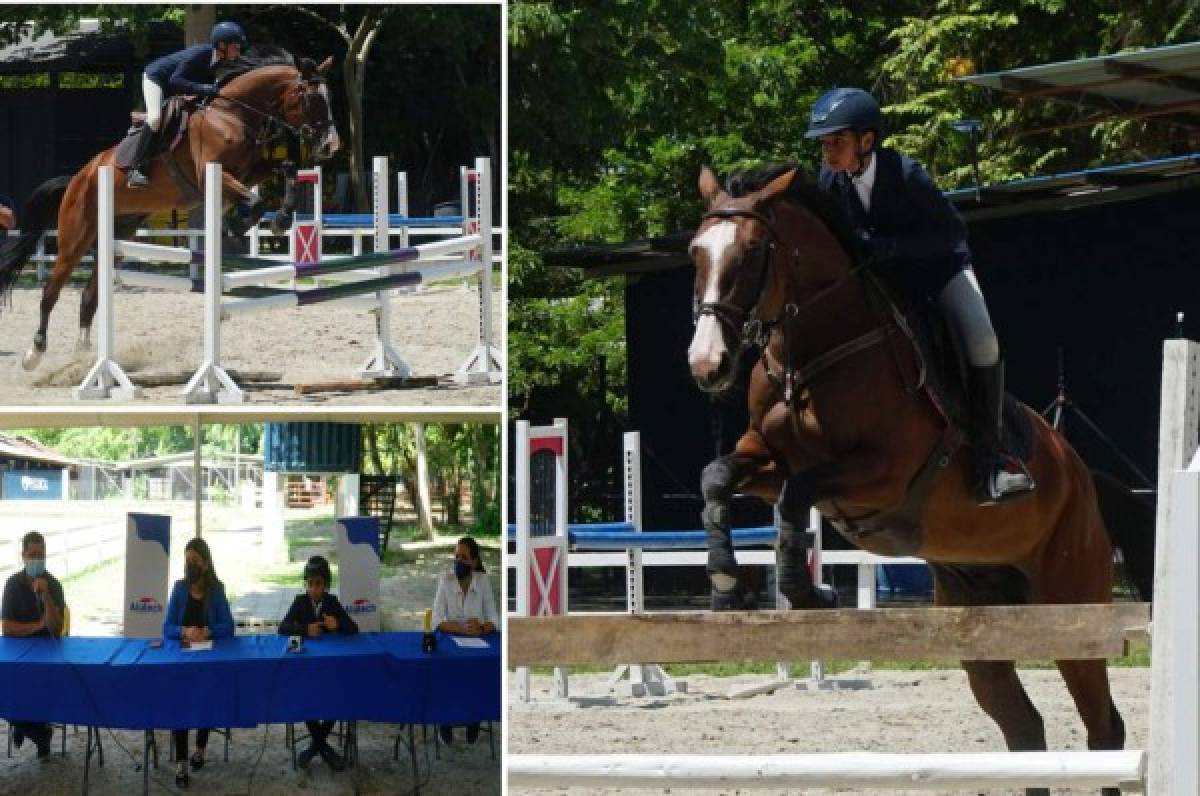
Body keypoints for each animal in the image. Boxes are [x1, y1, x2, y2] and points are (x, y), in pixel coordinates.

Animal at [0, 48, 340, 372]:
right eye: (311, 98)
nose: (331, 146)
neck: (231, 114)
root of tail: (77, 177)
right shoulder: (211, 174)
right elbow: (255, 202)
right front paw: (235, 225)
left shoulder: (248, 171)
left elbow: (287, 167)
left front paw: (279, 218)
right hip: (75, 238)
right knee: (50, 292)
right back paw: (35, 354)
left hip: (118, 236)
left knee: (88, 296)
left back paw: (83, 357)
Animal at [686, 163, 1152, 796]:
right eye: (695, 252)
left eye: (754, 250)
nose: (706, 365)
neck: (817, 352)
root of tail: (1085, 480)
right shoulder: (766, 456)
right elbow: (717, 477)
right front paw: (725, 581)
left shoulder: (881, 474)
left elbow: (796, 494)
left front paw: (806, 591)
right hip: (982, 618)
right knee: (1024, 726)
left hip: (1071, 604)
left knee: (1103, 726)